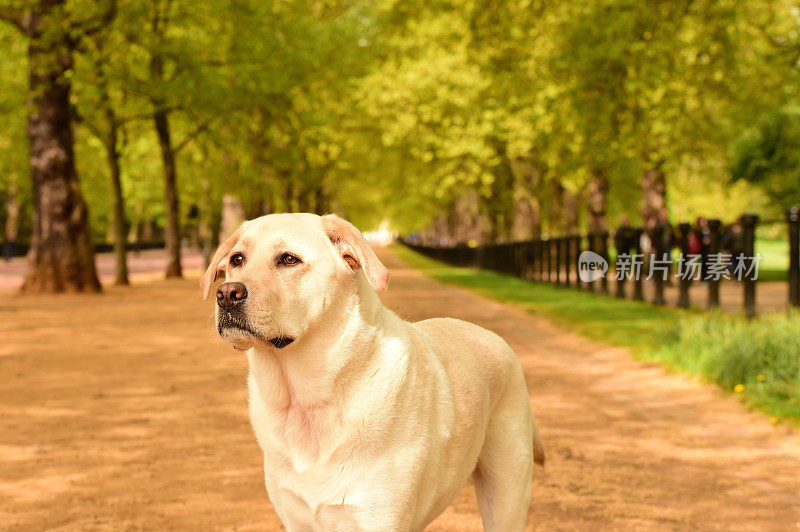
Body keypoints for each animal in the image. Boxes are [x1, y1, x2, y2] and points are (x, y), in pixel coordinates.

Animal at [200, 213, 544, 532]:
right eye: (237, 260)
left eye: (288, 259)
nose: (226, 293)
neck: (307, 400)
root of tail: (496, 339)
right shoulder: (295, 519)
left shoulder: (378, 518)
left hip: (505, 498)